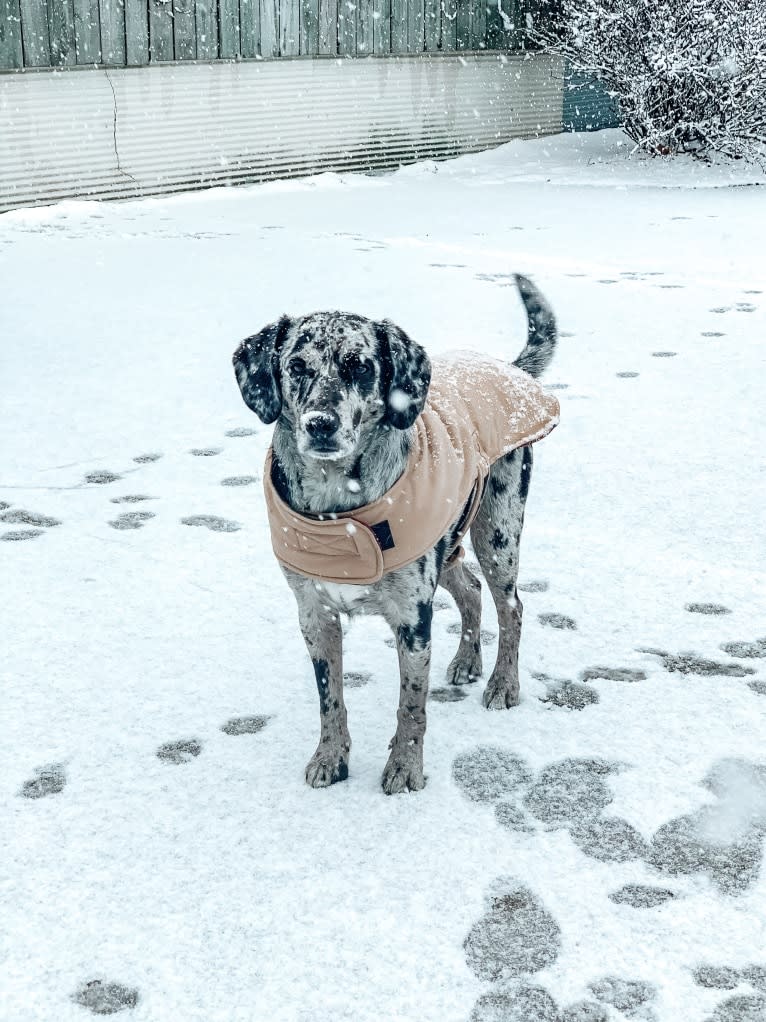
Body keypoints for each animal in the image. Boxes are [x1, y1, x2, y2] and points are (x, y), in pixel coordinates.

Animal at [230, 275, 559, 793]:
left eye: (360, 366)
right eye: (296, 366)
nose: (320, 424)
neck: (338, 514)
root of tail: (505, 367)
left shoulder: (411, 615)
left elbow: (411, 704)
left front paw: (405, 768)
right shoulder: (314, 614)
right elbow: (330, 699)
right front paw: (330, 757)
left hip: (498, 532)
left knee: (511, 607)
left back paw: (503, 683)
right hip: (444, 544)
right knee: (470, 589)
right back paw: (467, 660)